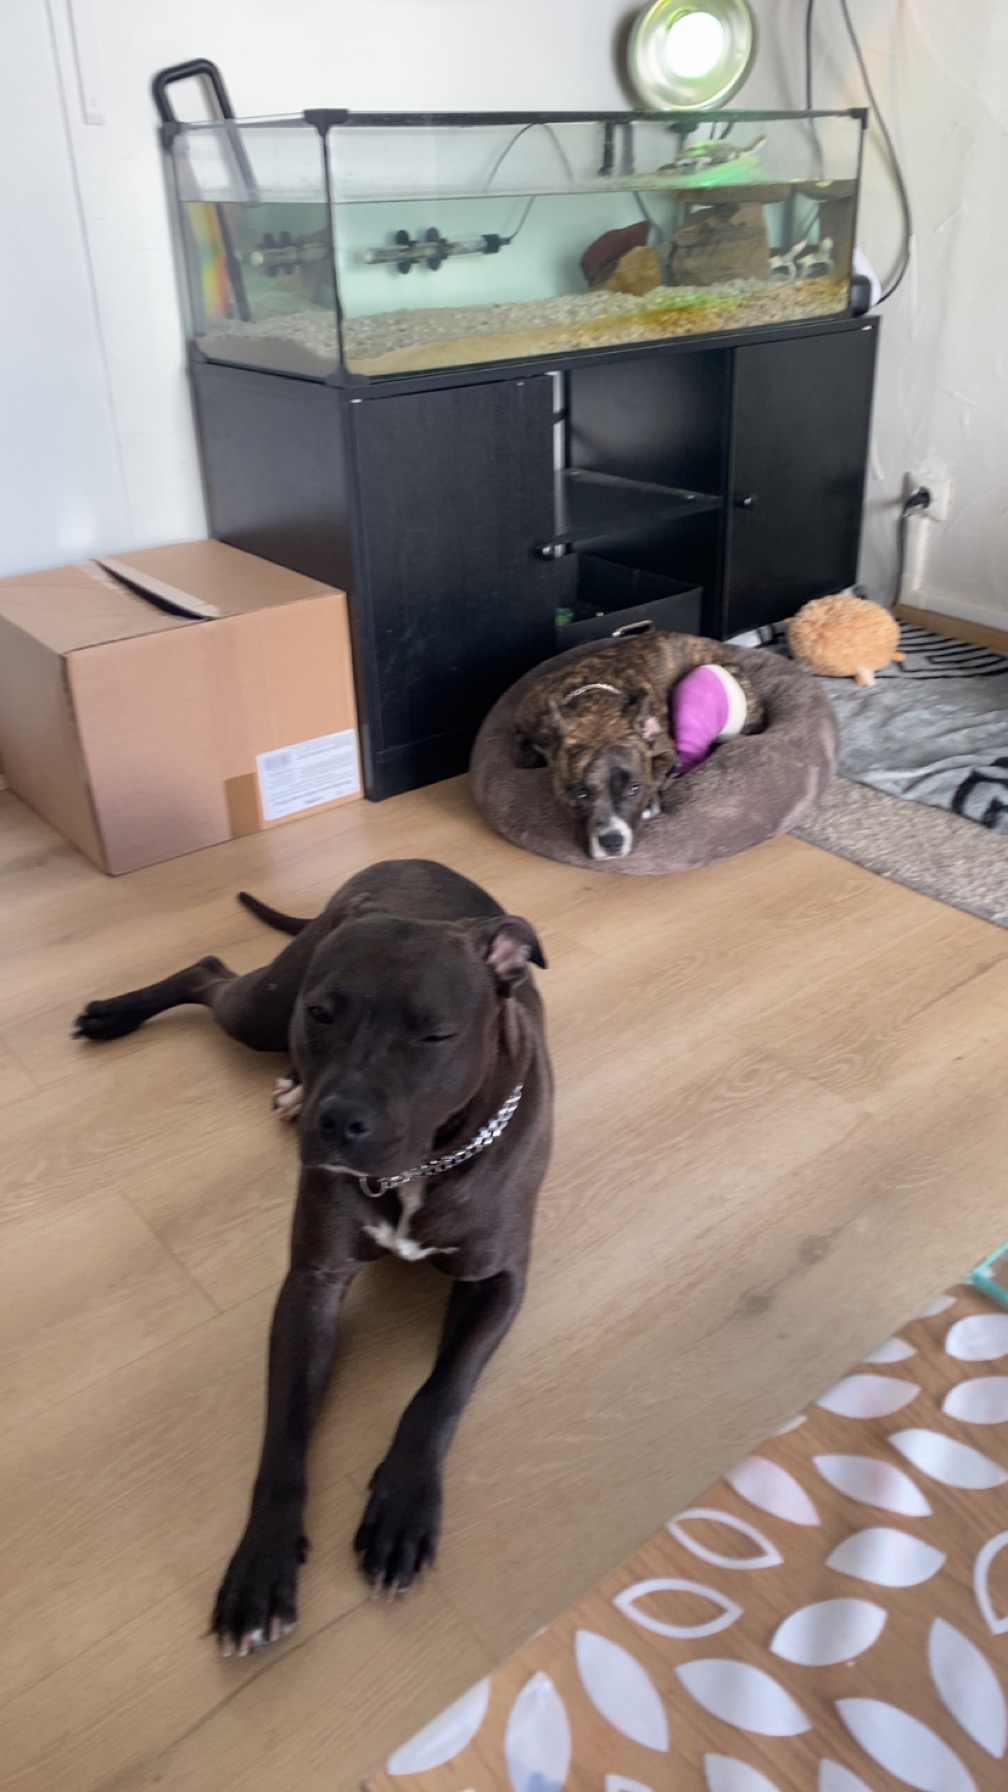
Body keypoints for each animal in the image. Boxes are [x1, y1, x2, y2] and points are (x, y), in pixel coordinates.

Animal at [73, 859, 552, 1656]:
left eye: (437, 1035)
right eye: (323, 1014)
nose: (340, 1120)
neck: (421, 1166)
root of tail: (401, 862)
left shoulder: (497, 1281)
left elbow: (439, 1393)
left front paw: (402, 1508)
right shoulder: (312, 1285)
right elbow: (283, 1438)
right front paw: (261, 1565)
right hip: (264, 1010)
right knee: (209, 973)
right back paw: (118, 1015)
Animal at [514, 631, 765, 859]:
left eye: (635, 788)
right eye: (580, 792)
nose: (612, 841)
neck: (597, 708)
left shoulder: (665, 752)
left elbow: (656, 774)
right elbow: (524, 755)